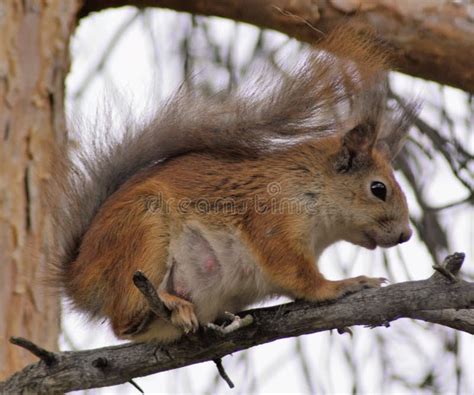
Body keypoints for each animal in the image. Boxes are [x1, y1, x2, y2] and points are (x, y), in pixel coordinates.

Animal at [50, 28, 416, 344]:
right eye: (379, 189)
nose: (406, 235)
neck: (309, 183)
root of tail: (80, 278)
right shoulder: (271, 220)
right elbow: (298, 276)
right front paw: (344, 285)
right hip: (142, 233)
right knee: (123, 319)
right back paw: (171, 304)